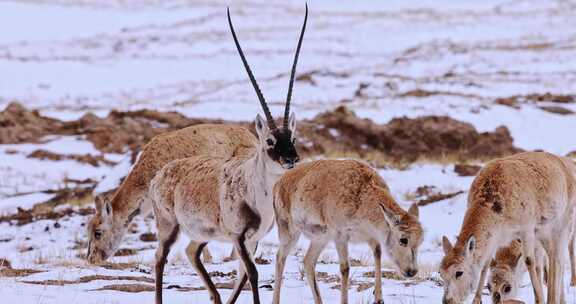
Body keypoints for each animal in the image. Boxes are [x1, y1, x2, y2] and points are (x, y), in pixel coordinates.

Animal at [151, 5, 308, 304]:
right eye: (269, 140)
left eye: (292, 138)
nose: (291, 160)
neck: (254, 189)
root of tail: (161, 174)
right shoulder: (238, 237)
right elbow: (253, 274)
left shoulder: (253, 240)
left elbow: (244, 276)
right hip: (168, 226)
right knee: (159, 259)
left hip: (202, 234)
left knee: (191, 252)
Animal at [270, 159, 424, 304]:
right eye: (403, 239)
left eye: (421, 241)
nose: (412, 271)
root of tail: (277, 184)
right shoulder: (340, 235)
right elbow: (345, 268)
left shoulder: (372, 237)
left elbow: (378, 255)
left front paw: (379, 298)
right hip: (288, 229)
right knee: (280, 257)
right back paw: (275, 300)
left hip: (321, 237)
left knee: (308, 261)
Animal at [440, 152, 576, 304]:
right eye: (441, 273)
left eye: (459, 272)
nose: (447, 300)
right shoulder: (495, 238)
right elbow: (486, 264)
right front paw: (476, 300)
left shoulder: (527, 229)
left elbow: (530, 261)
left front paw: (540, 298)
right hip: (544, 232)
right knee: (552, 256)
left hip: (563, 223)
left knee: (559, 259)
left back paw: (554, 297)